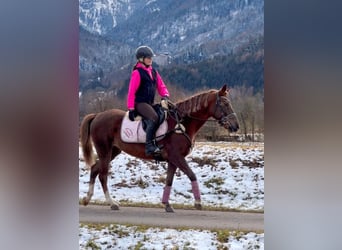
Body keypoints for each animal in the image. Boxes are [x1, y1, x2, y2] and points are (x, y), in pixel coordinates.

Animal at [80, 85, 239, 212]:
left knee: (94, 169)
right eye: (224, 103)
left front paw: (167, 204)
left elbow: (169, 180)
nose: (235, 126)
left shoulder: (173, 160)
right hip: (104, 150)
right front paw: (198, 202)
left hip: (113, 151)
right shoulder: (177, 157)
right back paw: (111, 203)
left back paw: (87, 199)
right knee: (102, 175)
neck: (181, 123)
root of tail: (97, 115)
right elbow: (192, 175)